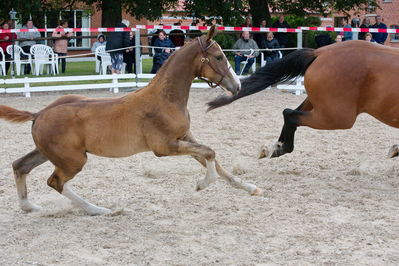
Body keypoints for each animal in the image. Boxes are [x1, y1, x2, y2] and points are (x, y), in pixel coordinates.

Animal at [0, 26, 262, 215]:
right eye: (218, 57)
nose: (237, 86)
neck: (165, 99)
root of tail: (38, 114)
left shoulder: (184, 138)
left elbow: (212, 158)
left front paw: (251, 188)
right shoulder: (164, 147)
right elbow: (210, 153)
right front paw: (202, 184)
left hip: (49, 153)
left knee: (20, 166)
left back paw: (29, 206)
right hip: (73, 160)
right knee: (55, 182)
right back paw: (99, 210)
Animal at [208, 40, 399, 159]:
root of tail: (320, 52)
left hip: (320, 106)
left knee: (290, 113)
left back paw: (276, 147)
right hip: (337, 116)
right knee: (290, 114)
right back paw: (283, 148)